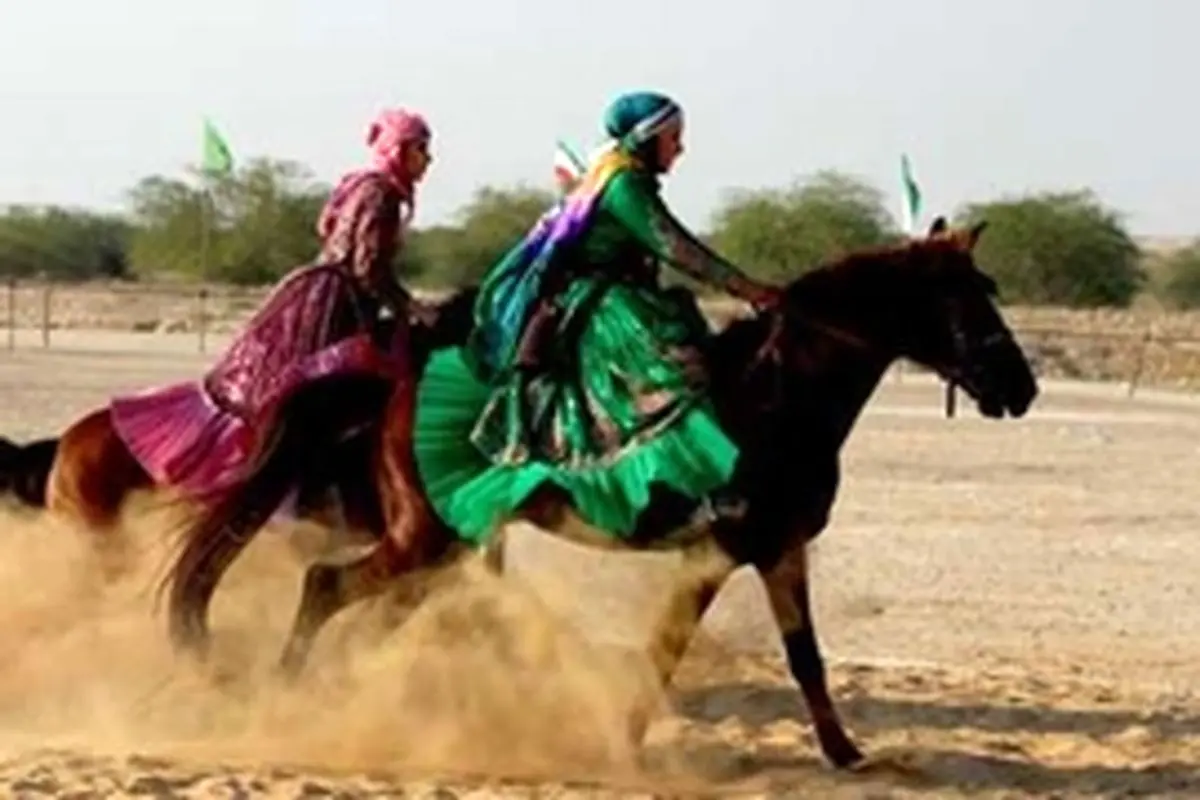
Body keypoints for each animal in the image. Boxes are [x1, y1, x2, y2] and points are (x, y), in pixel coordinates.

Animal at [162, 219, 1041, 767]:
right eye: (970, 296)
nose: (1021, 387)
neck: (779, 397)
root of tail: (393, 378)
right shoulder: (723, 549)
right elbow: (669, 650)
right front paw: (622, 742)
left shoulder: (775, 549)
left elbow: (804, 660)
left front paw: (846, 754)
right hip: (425, 536)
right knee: (324, 585)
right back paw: (289, 695)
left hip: (442, 545)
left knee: (366, 609)